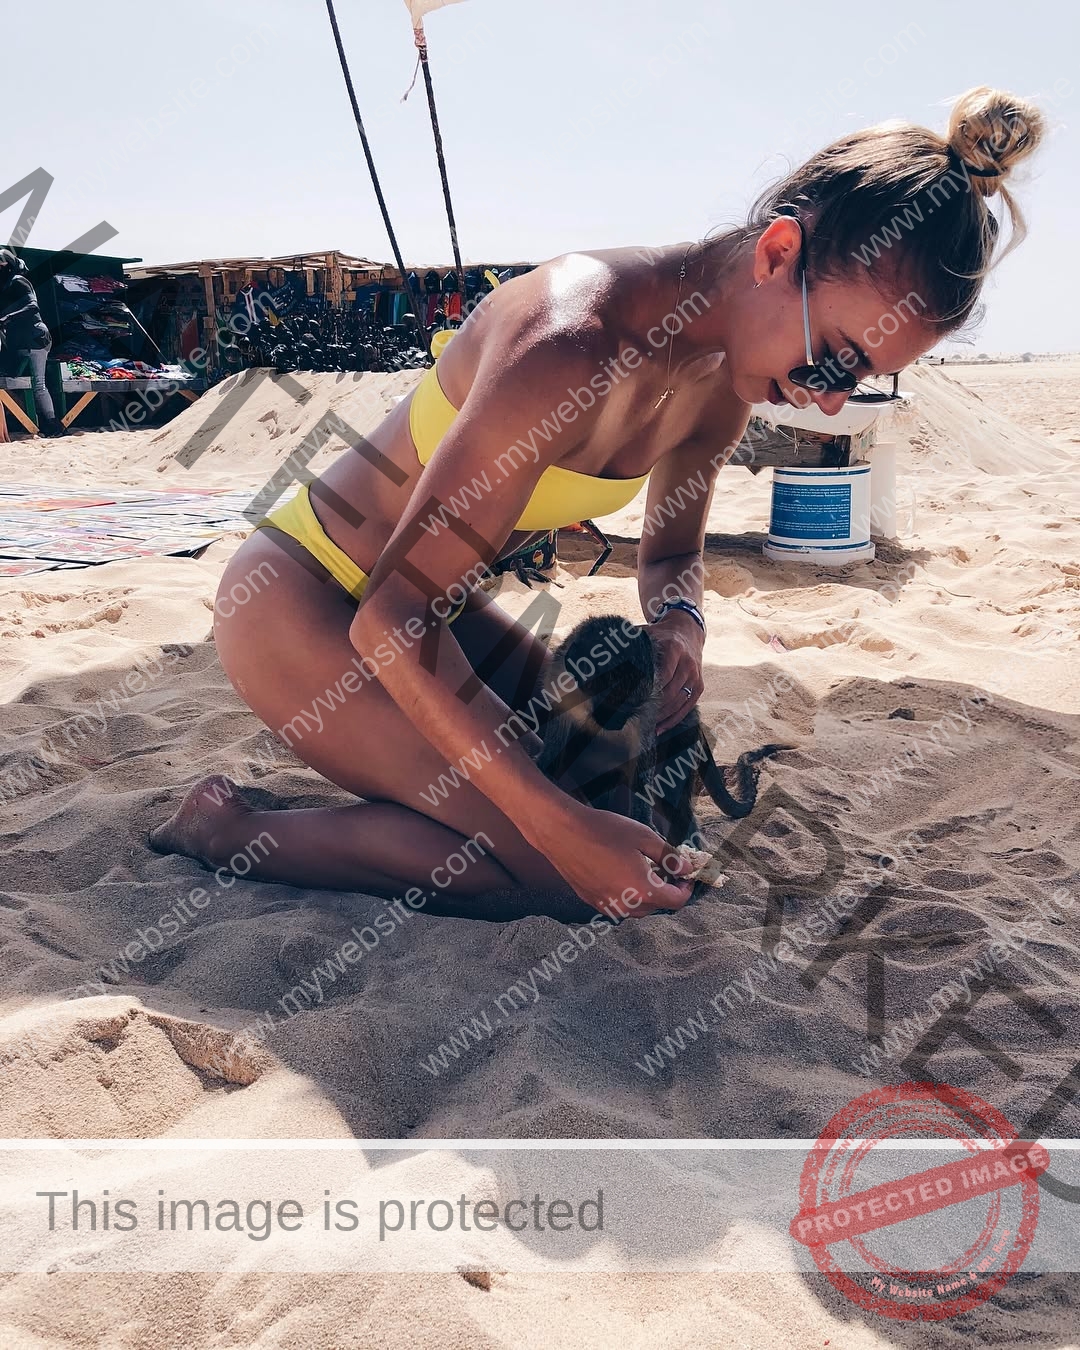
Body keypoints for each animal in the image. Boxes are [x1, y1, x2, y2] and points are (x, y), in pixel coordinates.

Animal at [534, 614, 789, 848]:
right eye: (607, 704)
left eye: (628, 708)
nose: (615, 725)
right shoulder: (559, 680)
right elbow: (557, 728)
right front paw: (545, 763)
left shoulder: (646, 712)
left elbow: (644, 758)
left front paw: (642, 822)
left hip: (682, 740)